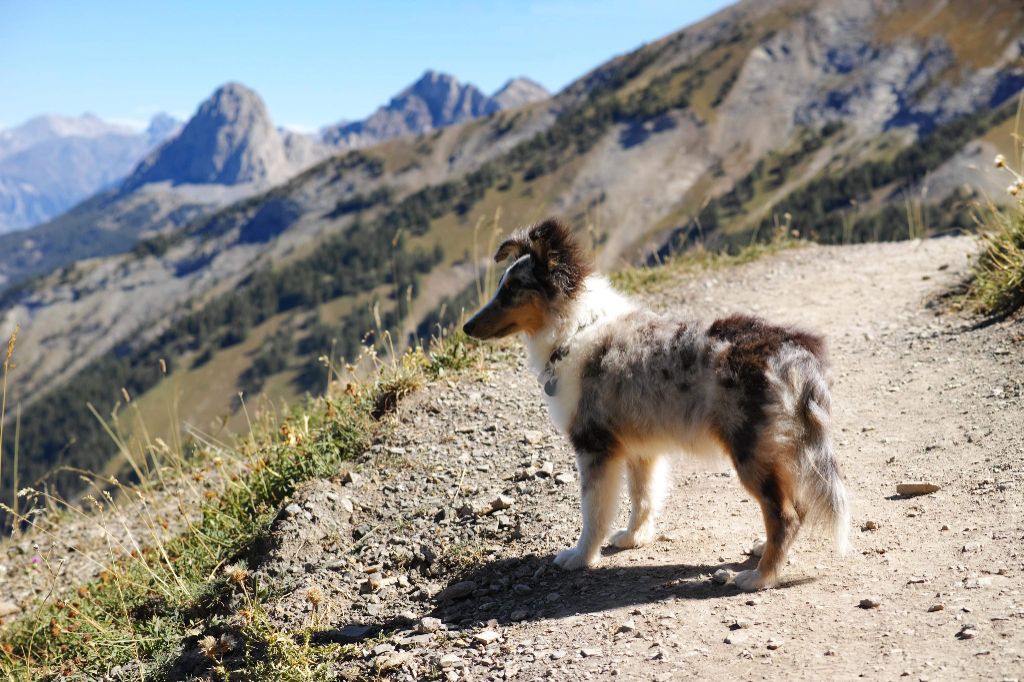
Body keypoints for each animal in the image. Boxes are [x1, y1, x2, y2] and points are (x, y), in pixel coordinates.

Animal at [464, 219, 847, 589]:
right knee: (795, 506)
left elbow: (593, 512)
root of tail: (795, 351)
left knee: (786, 513)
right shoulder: (641, 450)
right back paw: (763, 551)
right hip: (783, 450)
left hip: (751, 450)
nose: (466, 327)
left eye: (512, 289)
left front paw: (580, 557)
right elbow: (643, 498)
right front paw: (633, 539)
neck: (576, 329)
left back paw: (758, 577)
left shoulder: (594, 448)